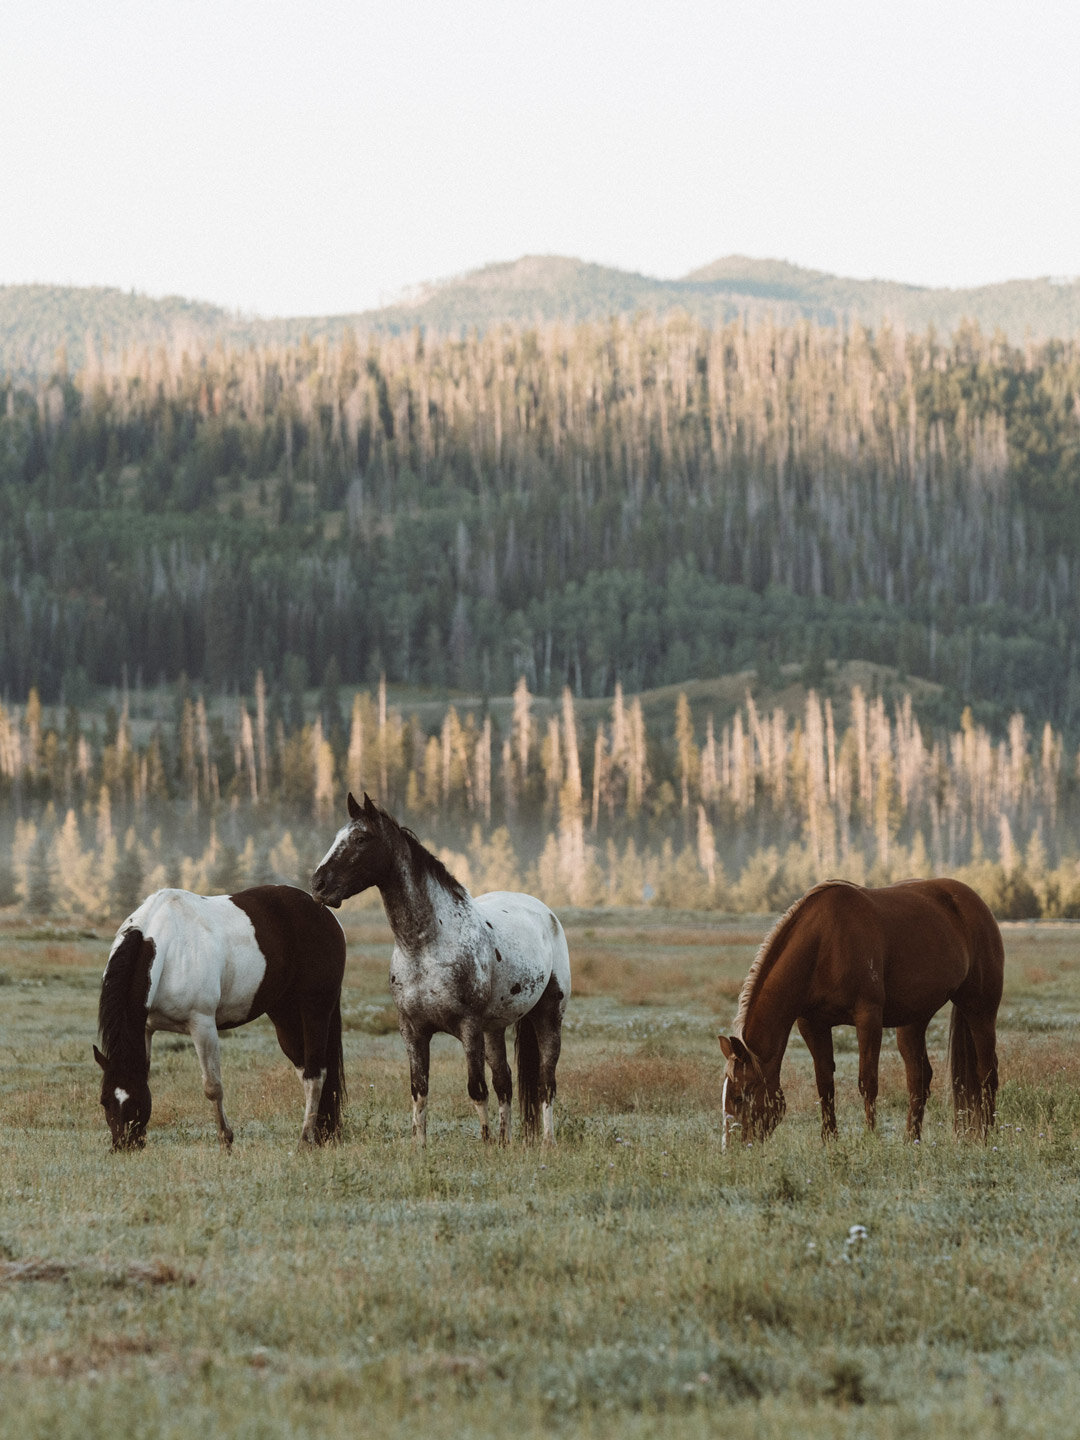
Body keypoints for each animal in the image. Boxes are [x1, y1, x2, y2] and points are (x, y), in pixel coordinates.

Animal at [94, 881, 347, 1152]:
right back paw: (321, 1134)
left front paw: (226, 1140)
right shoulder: (145, 1028)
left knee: (315, 1074)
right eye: (104, 1100)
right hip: (285, 1016)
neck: (167, 946)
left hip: (315, 1009)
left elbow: (212, 1087)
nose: (124, 1145)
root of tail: (324, 912)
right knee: (305, 1069)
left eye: (134, 1101)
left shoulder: (202, 1025)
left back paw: (305, 1140)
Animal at [311, 789, 570, 1146]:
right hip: (495, 1029)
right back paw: (506, 1142)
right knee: (505, 1082)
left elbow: (476, 1090)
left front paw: (485, 1145)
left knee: (546, 1082)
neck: (426, 947)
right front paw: (420, 1147)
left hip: (548, 1016)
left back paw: (547, 1142)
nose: (318, 884)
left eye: (361, 839)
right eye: (337, 837)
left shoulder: (469, 1028)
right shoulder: (413, 1030)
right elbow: (419, 1091)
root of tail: (545, 912)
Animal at [720, 875, 1008, 1146]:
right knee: (919, 1078)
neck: (823, 945)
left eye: (740, 1095)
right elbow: (825, 1083)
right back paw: (911, 1139)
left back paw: (987, 1135)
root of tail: (973, 902)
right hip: (913, 1021)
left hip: (980, 1009)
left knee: (987, 1072)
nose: (732, 1149)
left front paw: (871, 1138)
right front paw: (830, 1140)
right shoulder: (812, 1024)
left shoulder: (867, 1017)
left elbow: (867, 1083)